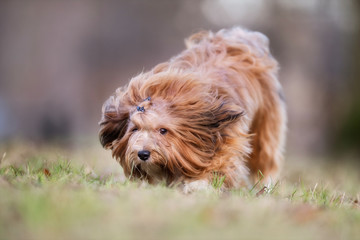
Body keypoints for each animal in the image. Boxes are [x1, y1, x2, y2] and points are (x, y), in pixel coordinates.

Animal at [98, 27, 286, 192]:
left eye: (163, 130)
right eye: (135, 129)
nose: (143, 154)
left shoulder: (229, 137)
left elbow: (220, 163)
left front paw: (199, 185)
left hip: (265, 126)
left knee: (265, 158)